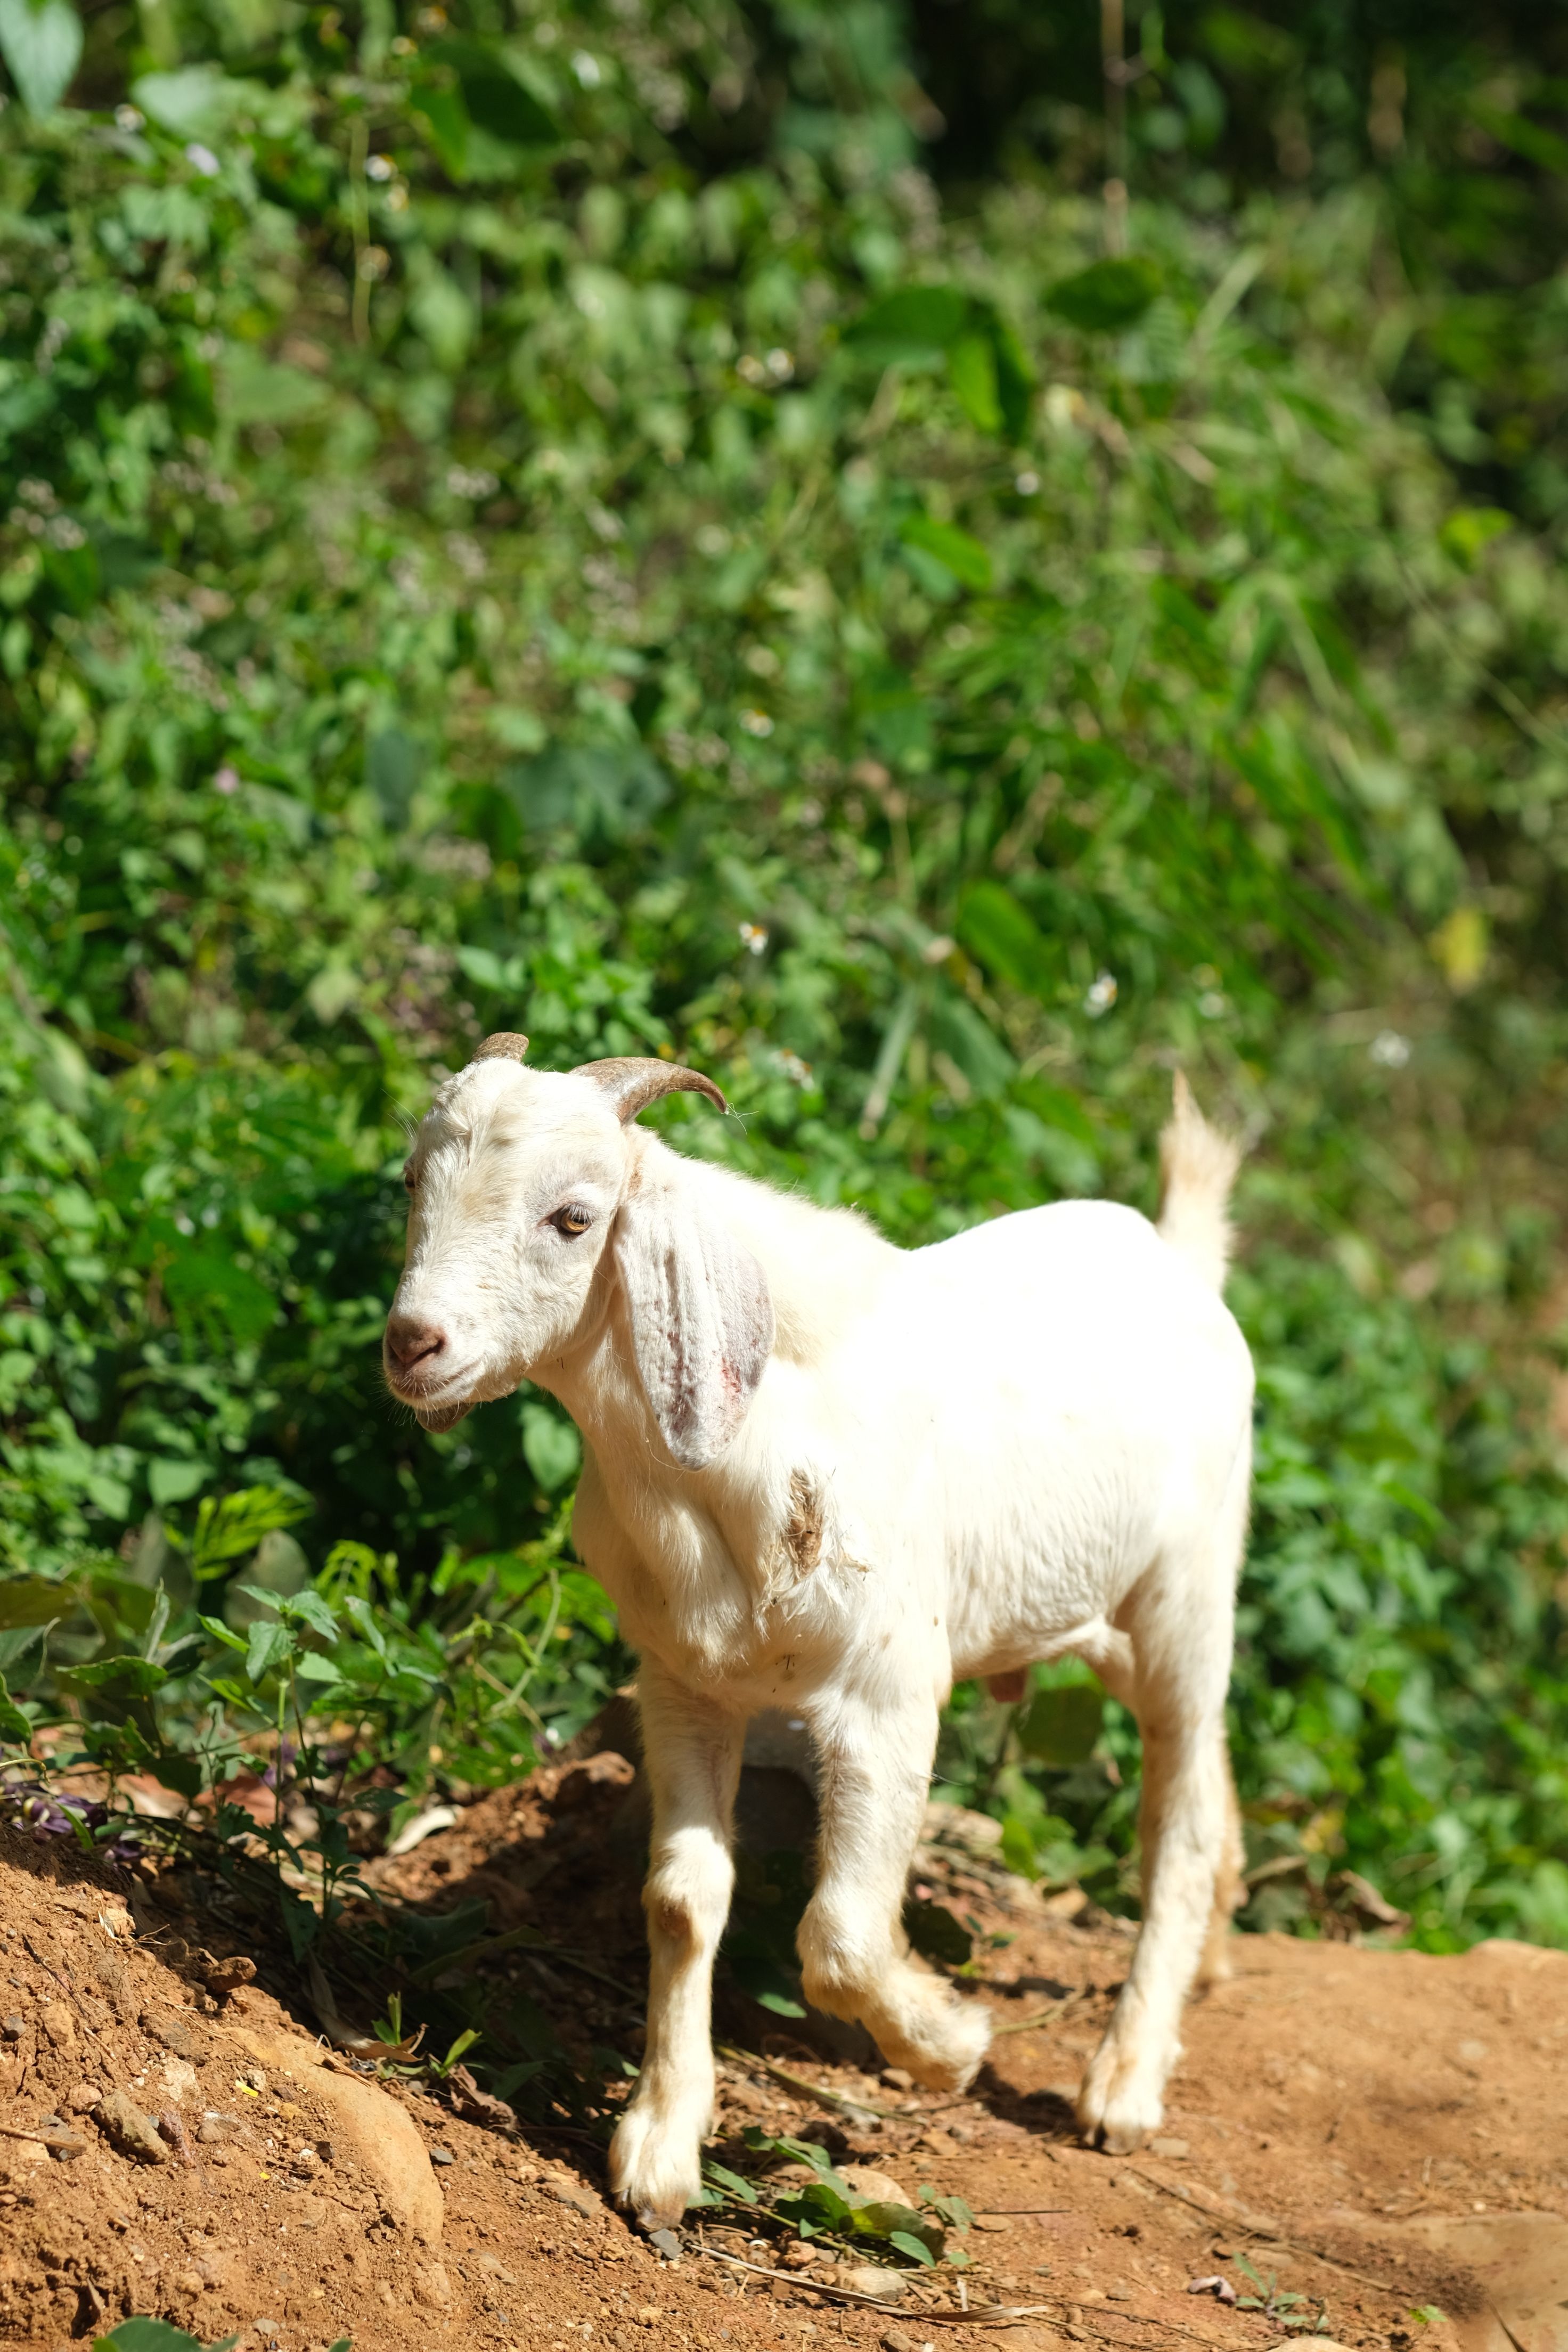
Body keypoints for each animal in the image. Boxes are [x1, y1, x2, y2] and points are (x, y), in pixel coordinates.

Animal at [383, 1036, 1252, 2229]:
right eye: (410, 1182)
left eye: (572, 1217)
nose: (413, 1344)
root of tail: (1179, 1260)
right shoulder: (683, 1684)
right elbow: (682, 1901)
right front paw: (659, 2150)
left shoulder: (885, 1696)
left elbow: (837, 1939)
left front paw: (949, 2043)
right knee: (1211, 1775)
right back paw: (1210, 1956)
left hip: (1186, 1596)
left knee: (1177, 1810)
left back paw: (1122, 2081)